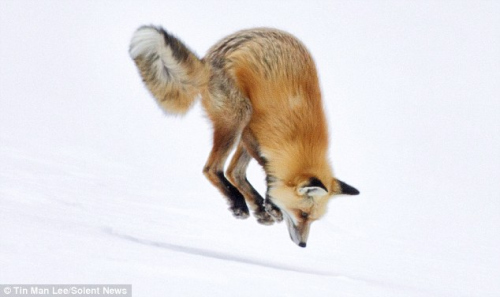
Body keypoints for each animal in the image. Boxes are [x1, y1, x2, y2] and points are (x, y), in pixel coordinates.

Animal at [128, 26, 356, 247]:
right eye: (303, 214)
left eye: (312, 219)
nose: (302, 245)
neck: (299, 138)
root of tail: (208, 60)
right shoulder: (253, 131)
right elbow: (266, 171)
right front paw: (270, 203)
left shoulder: (252, 137)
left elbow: (244, 172)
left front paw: (265, 205)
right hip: (240, 115)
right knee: (212, 169)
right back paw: (238, 203)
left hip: (240, 125)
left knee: (232, 171)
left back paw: (253, 205)